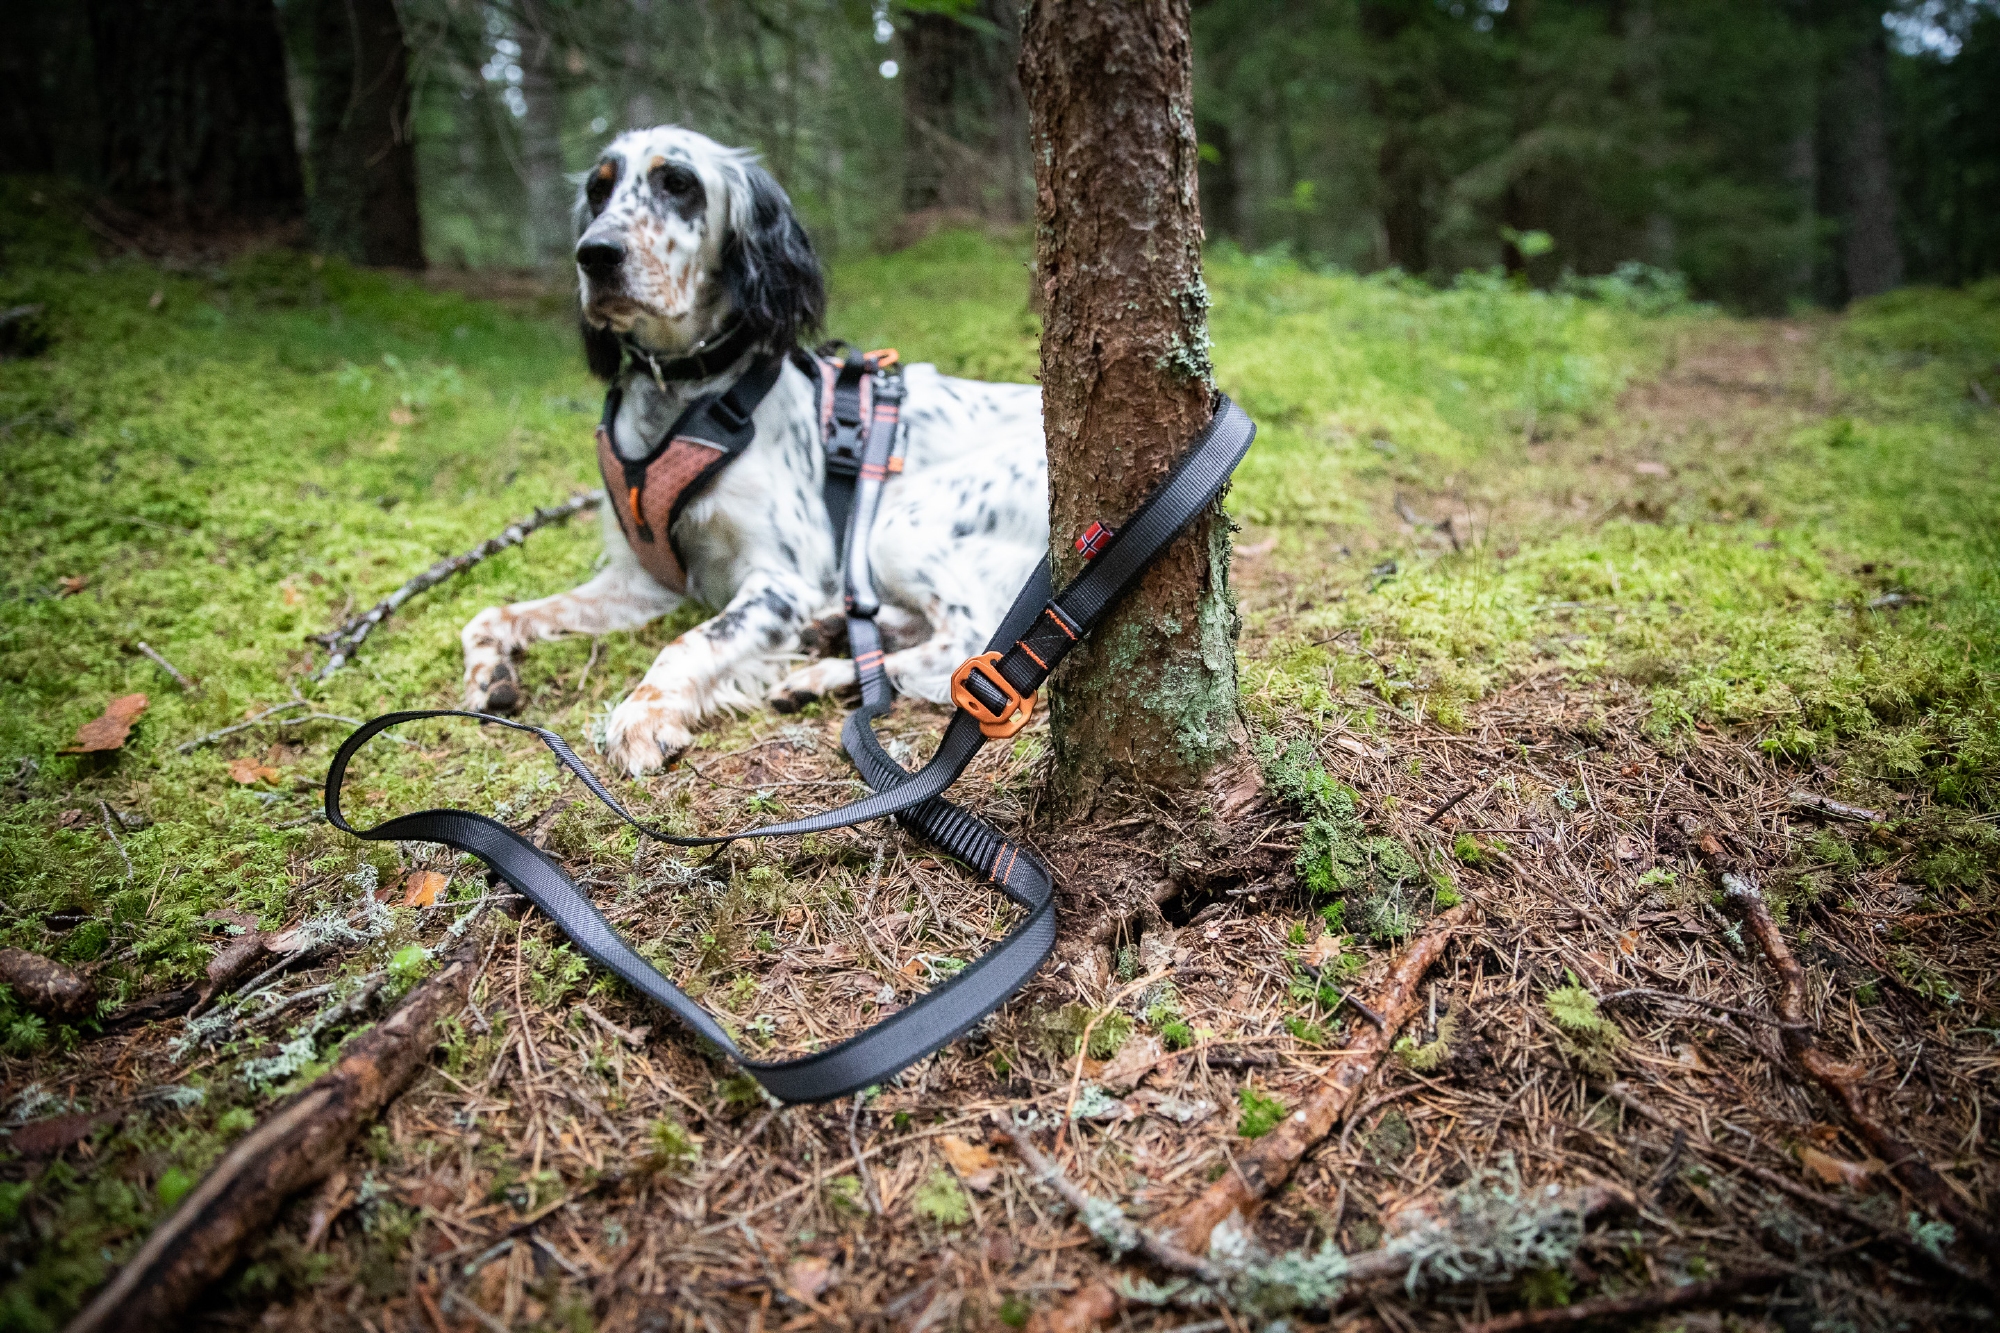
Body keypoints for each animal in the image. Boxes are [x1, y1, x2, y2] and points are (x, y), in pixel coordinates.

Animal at [454, 126, 1048, 780]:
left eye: (677, 182)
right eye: (598, 189)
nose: (596, 253)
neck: (682, 393)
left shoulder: (779, 580)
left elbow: (690, 641)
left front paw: (643, 713)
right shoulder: (641, 580)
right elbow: (493, 614)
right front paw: (489, 669)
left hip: (897, 521)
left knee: (969, 648)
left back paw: (824, 671)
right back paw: (831, 638)